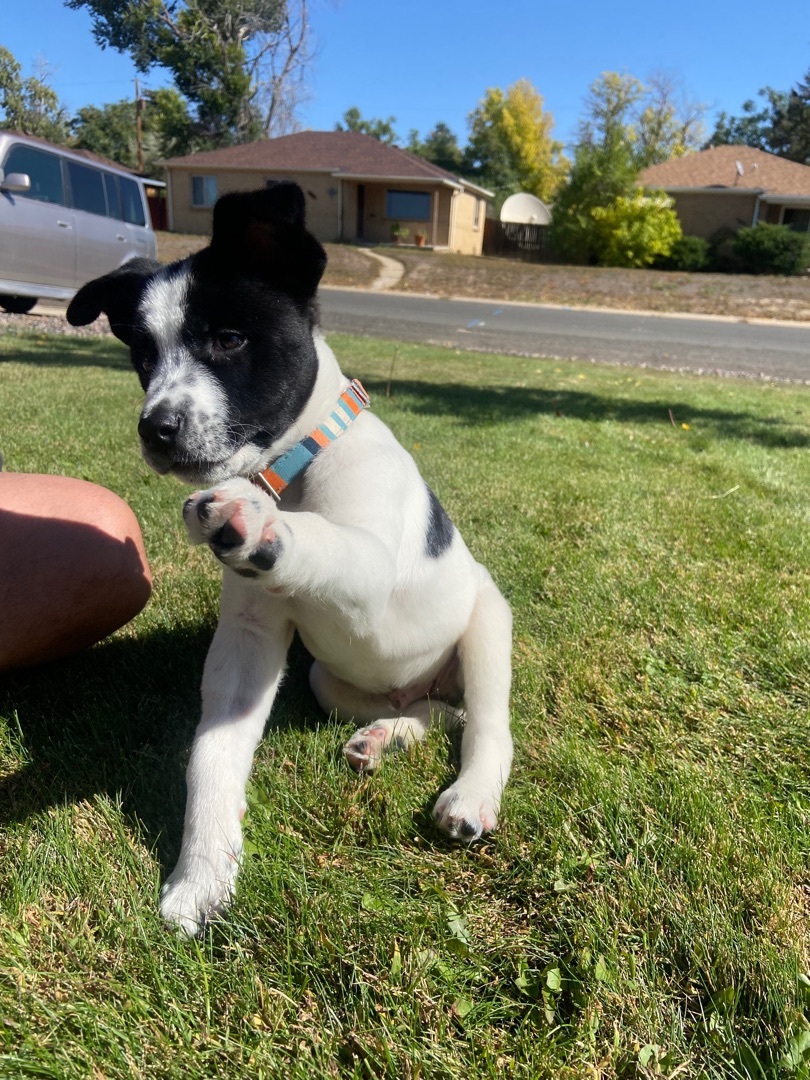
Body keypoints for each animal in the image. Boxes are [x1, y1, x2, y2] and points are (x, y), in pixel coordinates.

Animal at [69, 181, 514, 933]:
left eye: (229, 339)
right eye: (142, 357)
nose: (156, 429)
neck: (294, 470)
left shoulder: (369, 577)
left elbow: (330, 544)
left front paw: (263, 526)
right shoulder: (249, 643)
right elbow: (212, 755)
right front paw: (202, 873)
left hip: (486, 626)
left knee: (487, 725)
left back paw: (470, 795)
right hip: (329, 682)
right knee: (434, 714)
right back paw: (387, 734)